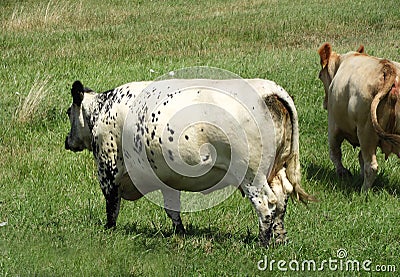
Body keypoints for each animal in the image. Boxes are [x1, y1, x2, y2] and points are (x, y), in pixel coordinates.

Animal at [65, 77, 316, 246]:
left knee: (266, 203)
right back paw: (279, 239)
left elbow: (112, 206)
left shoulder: (107, 168)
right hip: (276, 171)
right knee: (281, 199)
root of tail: (267, 90)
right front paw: (180, 233)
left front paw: (109, 231)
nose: (68, 141)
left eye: (69, 112)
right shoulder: (166, 179)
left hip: (252, 175)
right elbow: (172, 209)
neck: (102, 110)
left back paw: (263, 242)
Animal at [318, 42, 400, 192]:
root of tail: (388, 69)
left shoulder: (333, 125)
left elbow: (335, 153)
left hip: (366, 131)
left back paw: (363, 192)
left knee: (371, 166)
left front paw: (343, 173)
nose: (325, 103)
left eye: (320, 76)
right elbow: (360, 157)